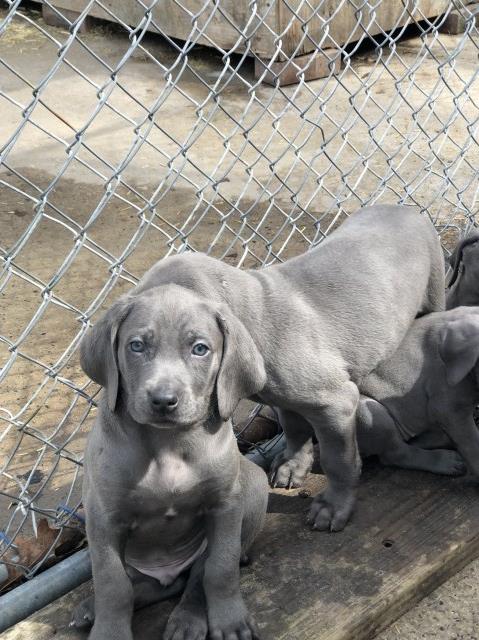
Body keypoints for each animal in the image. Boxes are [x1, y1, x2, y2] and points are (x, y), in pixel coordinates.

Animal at [75, 286, 270, 640]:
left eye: (200, 349)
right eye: (136, 345)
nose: (163, 401)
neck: (167, 443)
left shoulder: (226, 504)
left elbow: (220, 568)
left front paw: (229, 620)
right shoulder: (103, 517)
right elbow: (113, 584)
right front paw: (109, 631)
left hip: (255, 485)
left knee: (195, 577)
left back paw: (187, 620)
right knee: (145, 586)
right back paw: (90, 609)